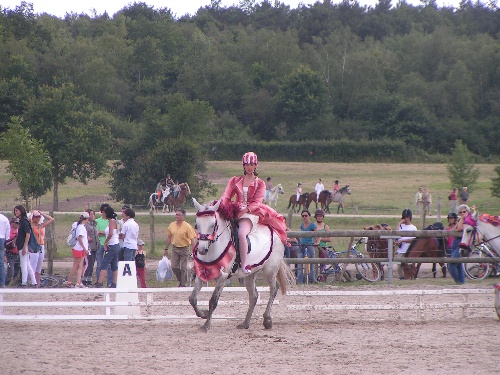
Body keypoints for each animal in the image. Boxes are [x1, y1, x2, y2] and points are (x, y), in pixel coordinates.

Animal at [190, 198, 292, 334]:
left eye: (212, 225)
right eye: (196, 224)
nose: (201, 250)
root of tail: (277, 233)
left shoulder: (223, 277)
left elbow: (213, 301)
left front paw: (206, 325)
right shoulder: (201, 274)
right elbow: (192, 298)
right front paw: (204, 314)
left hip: (270, 270)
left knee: (274, 288)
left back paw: (267, 320)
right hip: (250, 274)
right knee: (254, 296)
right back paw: (245, 323)